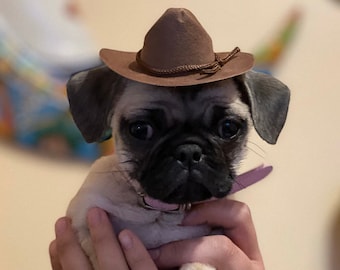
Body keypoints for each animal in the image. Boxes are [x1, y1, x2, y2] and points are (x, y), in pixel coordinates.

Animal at [65, 64, 290, 268]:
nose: (189, 151)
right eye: (140, 129)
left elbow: (198, 264)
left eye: (228, 128)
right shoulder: (85, 221)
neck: (162, 212)